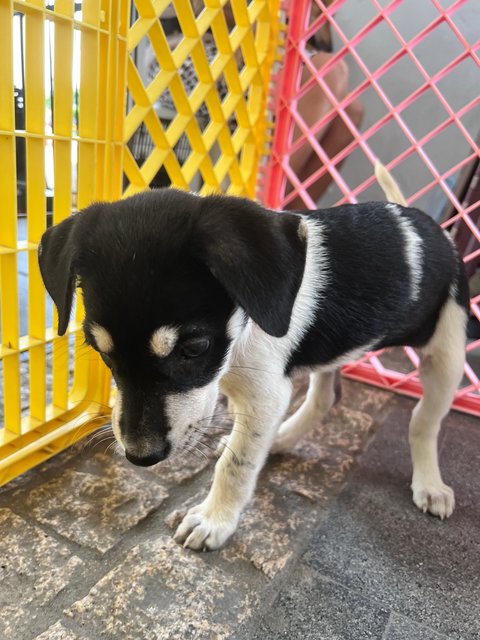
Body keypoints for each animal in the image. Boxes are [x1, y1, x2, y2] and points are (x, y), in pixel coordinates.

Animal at [38, 189, 468, 552]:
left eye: (194, 348)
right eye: (100, 351)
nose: (140, 458)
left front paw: (214, 520)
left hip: (447, 354)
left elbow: (236, 464)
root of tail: (426, 223)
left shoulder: (266, 397)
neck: (242, 329)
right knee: (326, 397)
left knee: (423, 421)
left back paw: (430, 483)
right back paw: (282, 438)